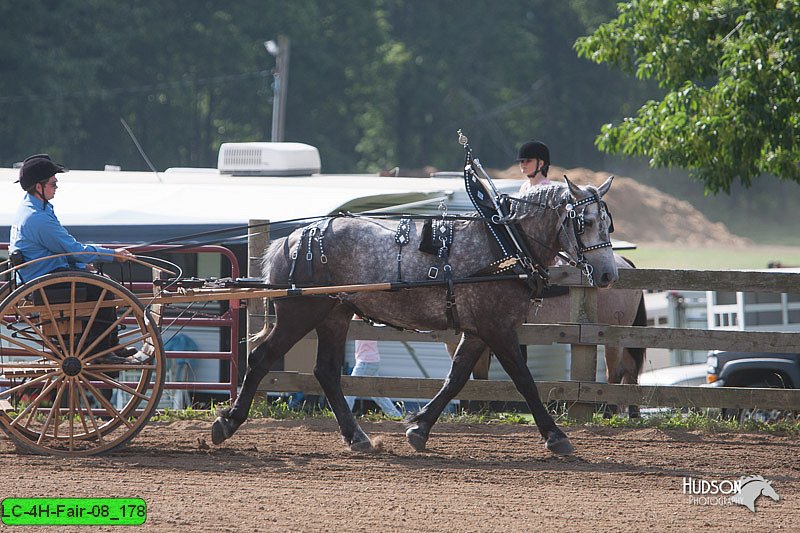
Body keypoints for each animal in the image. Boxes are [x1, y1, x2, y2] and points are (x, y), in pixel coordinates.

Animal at [211, 177, 620, 456]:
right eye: (584, 222)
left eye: (608, 223)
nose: (607, 275)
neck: (505, 244)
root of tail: (292, 240)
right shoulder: (498, 328)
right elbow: (524, 380)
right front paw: (557, 436)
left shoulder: (478, 330)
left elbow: (456, 378)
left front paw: (419, 427)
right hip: (301, 312)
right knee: (261, 358)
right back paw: (227, 422)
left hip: (335, 314)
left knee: (326, 372)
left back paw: (357, 437)